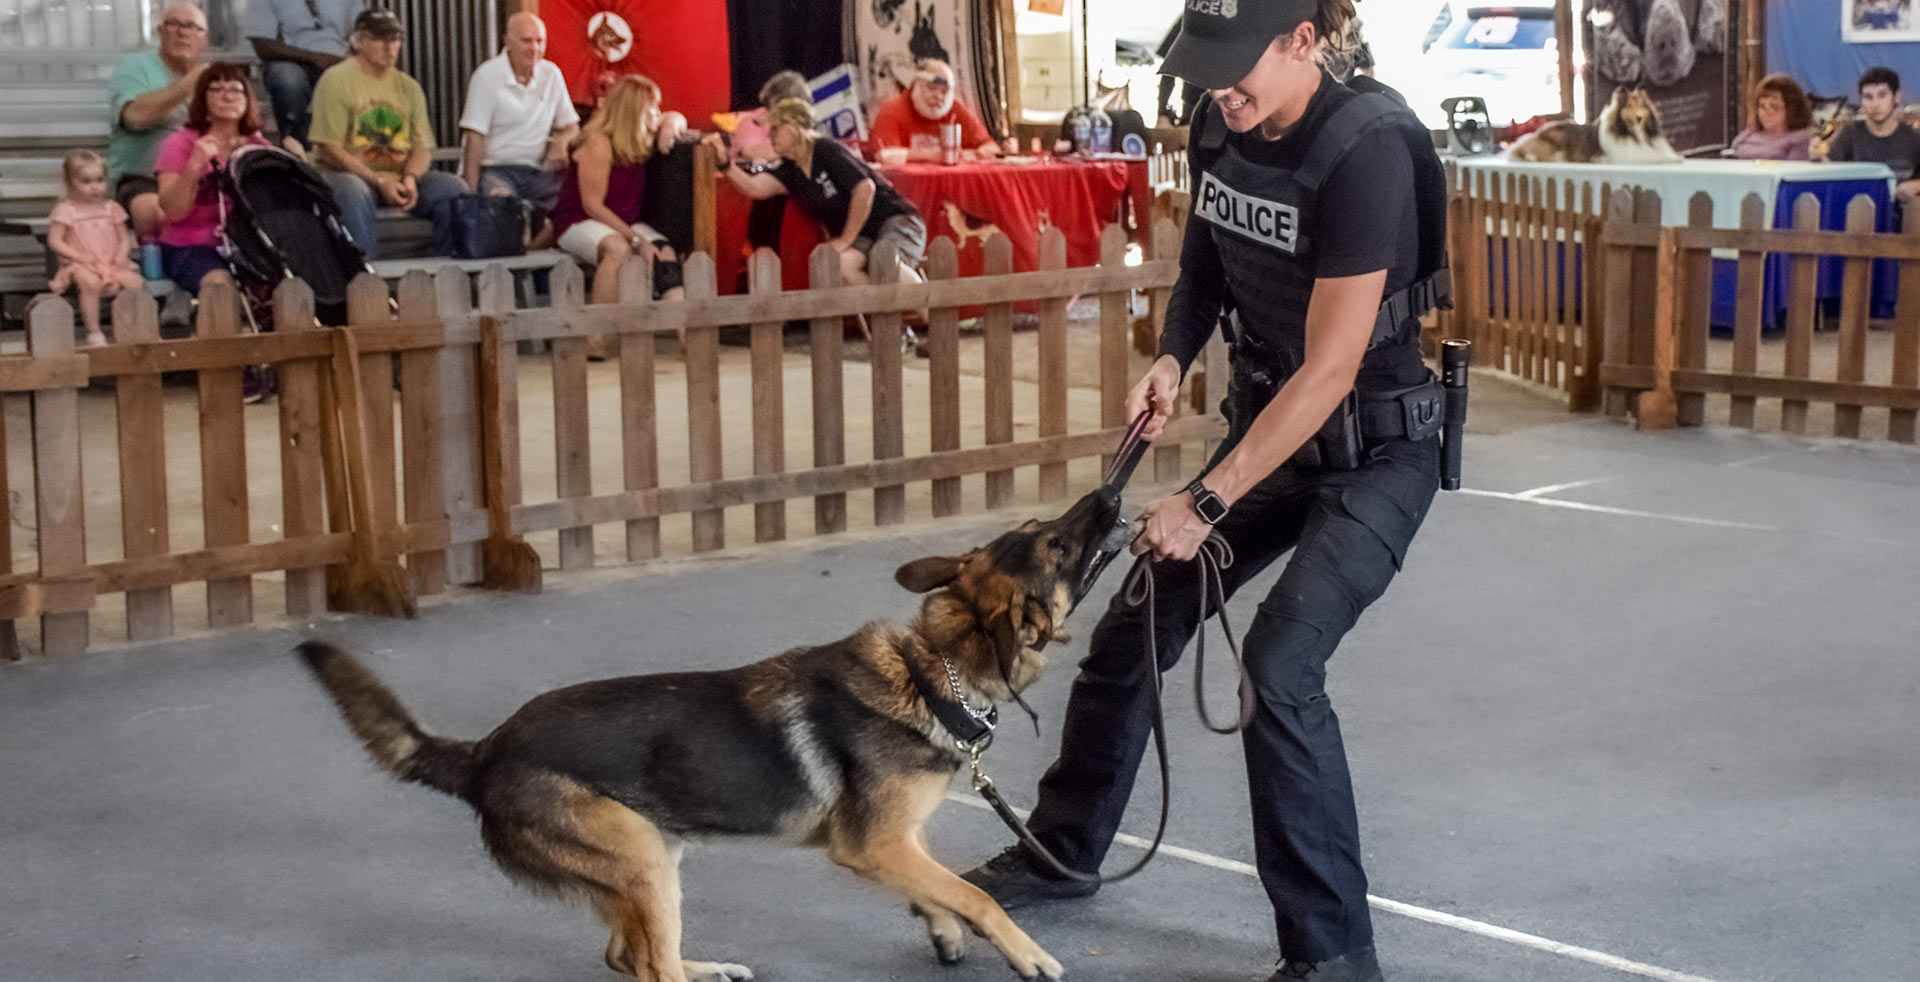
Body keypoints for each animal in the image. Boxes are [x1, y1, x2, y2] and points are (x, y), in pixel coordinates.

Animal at [291, 491, 1121, 982]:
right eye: (1053, 545)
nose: (1109, 497)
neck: (932, 667)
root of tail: (483, 752)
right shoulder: (875, 845)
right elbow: (977, 896)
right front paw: (1026, 953)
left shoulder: (895, 847)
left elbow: (941, 888)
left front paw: (943, 928)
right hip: (646, 862)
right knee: (644, 966)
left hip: (652, 862)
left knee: (627, 955)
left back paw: (705, 968)